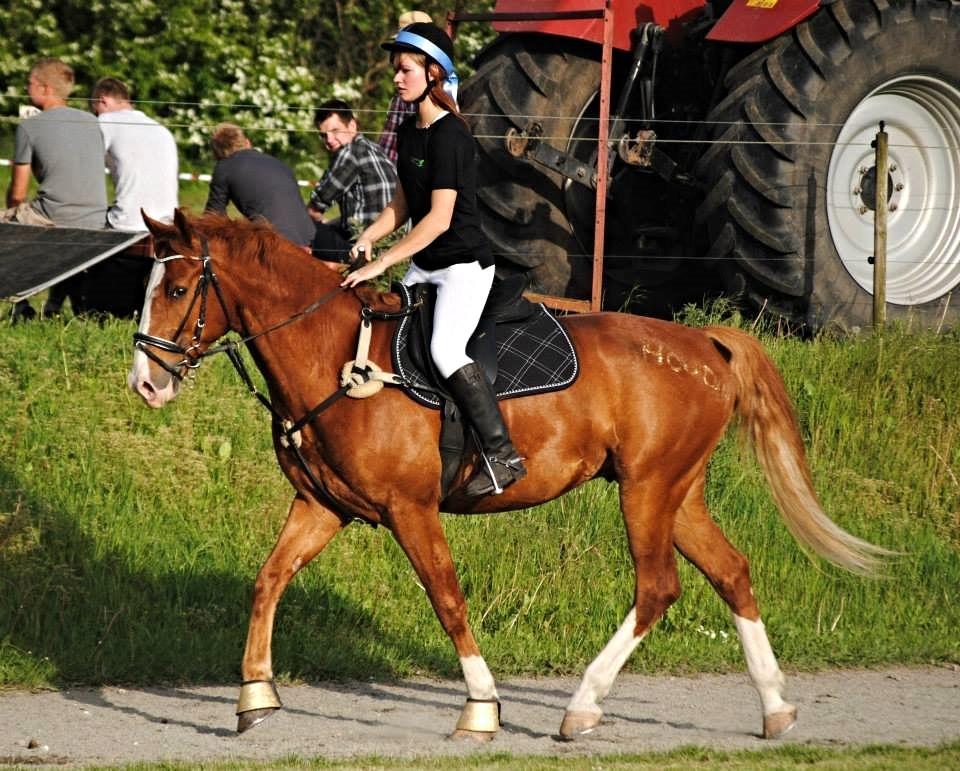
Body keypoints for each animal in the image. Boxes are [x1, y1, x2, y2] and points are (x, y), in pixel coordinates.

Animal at [127, 211, 884, 740]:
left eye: (179, 287)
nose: (145, 384)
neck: (330, 352)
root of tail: (702, 342)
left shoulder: (409, 509)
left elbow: (447, 598)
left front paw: (481, 708)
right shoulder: (322, 506)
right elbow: (267, 581)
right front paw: (254, 697)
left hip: (647, 491)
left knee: (657, 587)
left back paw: (582, 706)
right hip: (678, 492)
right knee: (730, 572)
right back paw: (776, 706)